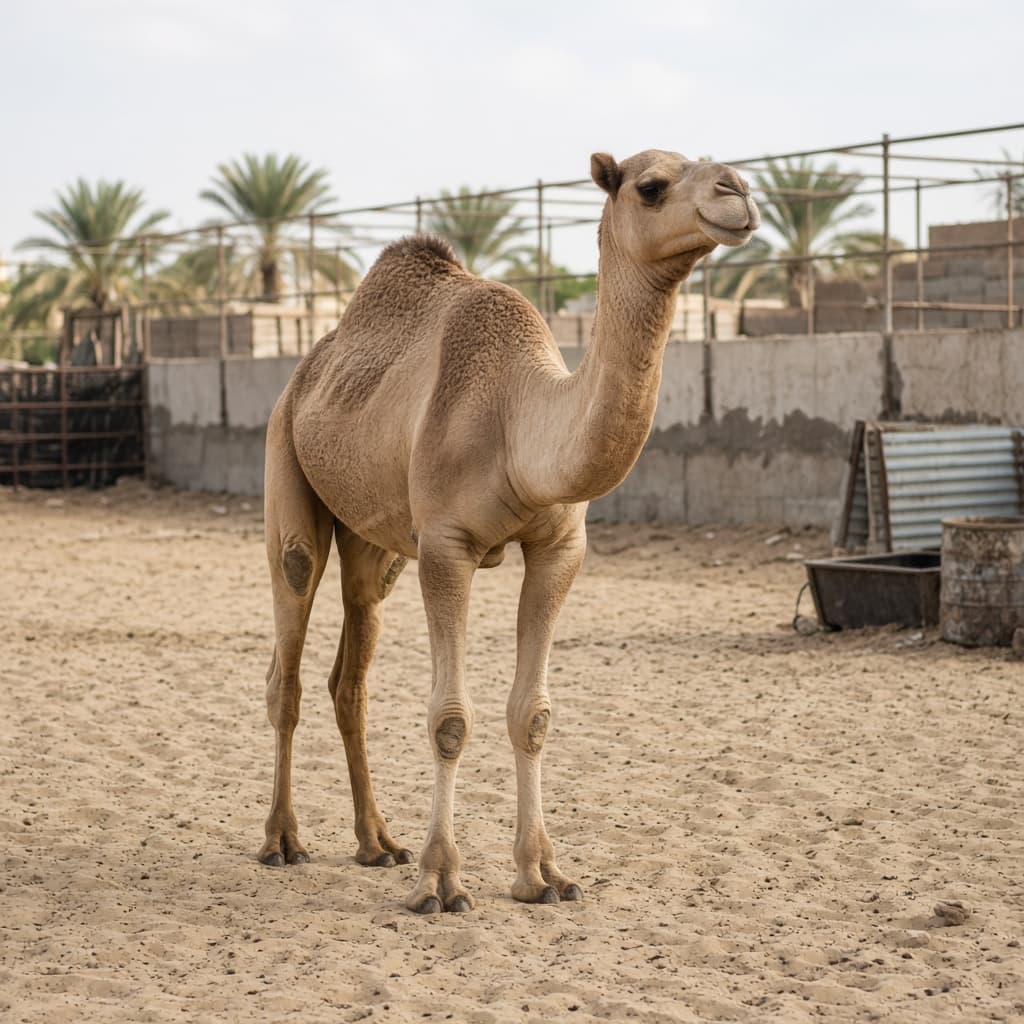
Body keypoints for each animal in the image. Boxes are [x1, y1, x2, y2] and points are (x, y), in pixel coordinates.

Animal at [258, 149, 759, 913]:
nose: (739, 193)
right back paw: (283, 840)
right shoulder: (446, 545)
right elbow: (449, 719)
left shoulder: (559, 548)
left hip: (375, 542)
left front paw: (544, 875)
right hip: (286, 459)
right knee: (288, 649)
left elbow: (533, 714)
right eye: (651, 186)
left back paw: (378, 842)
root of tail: (306, 370)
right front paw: (440, 881)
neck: (518, 419)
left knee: (351, 676)